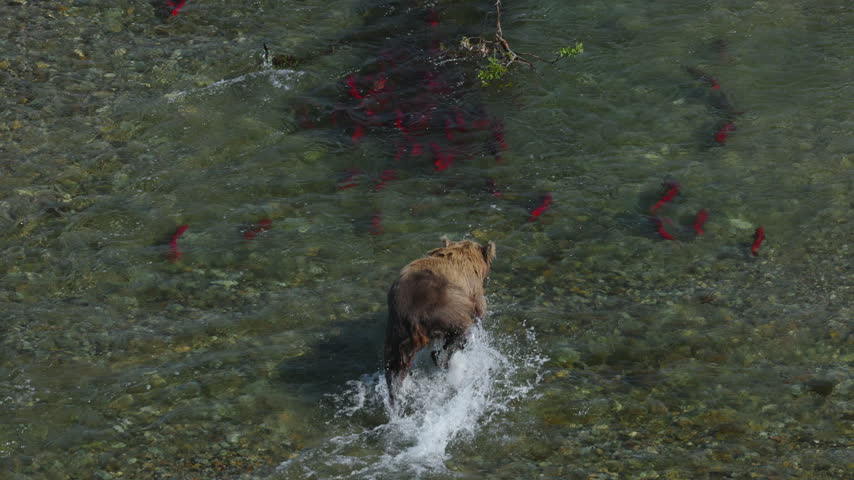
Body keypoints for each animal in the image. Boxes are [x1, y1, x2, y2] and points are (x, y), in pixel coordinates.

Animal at [384, 236, 496, 405]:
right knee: (459, 335)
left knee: (394, 364)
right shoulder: (473, 291)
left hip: (397, 328)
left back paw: (395, 394)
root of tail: (414, 318)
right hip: (446, 310)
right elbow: (479, 311)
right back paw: (441, 359)